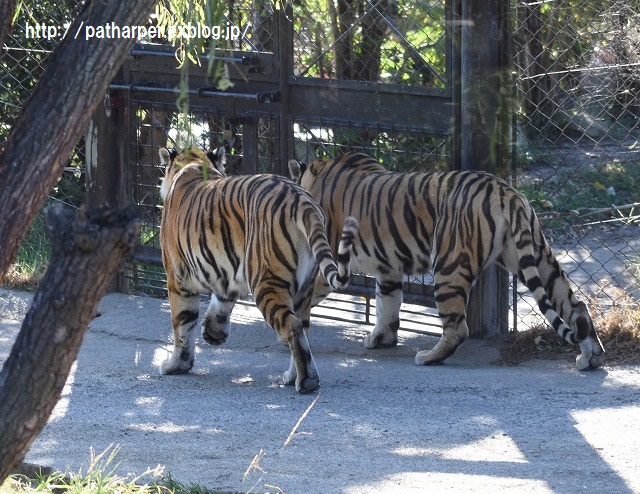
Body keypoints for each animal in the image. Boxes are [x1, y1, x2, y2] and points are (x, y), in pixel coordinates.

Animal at [159, 148, 360, 394]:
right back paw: (293, 376)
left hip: (266, 282)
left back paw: (306, 381)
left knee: (293, 326)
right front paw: (213, 333)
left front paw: (176, 365)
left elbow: (182, 325)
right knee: (303, 329)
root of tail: (303, 200)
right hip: (304, 287)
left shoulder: (177, 278)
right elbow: (220, 303)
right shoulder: (228, 274)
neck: (193, 163)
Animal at [290, 151, 604, 370]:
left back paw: (428, 357)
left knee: (458, 328)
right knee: (576, 306)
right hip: (535, 258)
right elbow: (386, 305)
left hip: (448, 266)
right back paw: (590, 358)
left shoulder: (326, 263)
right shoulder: (388, 268)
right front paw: (381, 339)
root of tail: (507, 191)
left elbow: (304, 298)